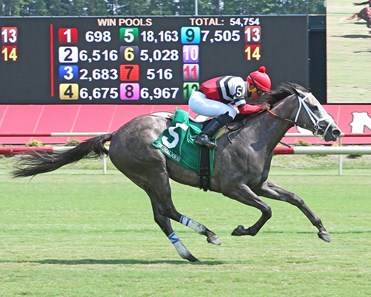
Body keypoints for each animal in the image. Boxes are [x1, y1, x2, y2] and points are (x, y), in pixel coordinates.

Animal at [13, 82, 342, 262]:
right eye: (314, 106)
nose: (336, 130)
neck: (252, 136)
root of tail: (116, 133)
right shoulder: (233, 187)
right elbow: (268, 210)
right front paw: (241, 230)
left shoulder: (259, 184)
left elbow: (296, 199)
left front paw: (323, 230)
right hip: (154, 172)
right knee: (169, 209)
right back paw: (209, 234)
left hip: (145, 180)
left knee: (161, 216)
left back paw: (189, 254)